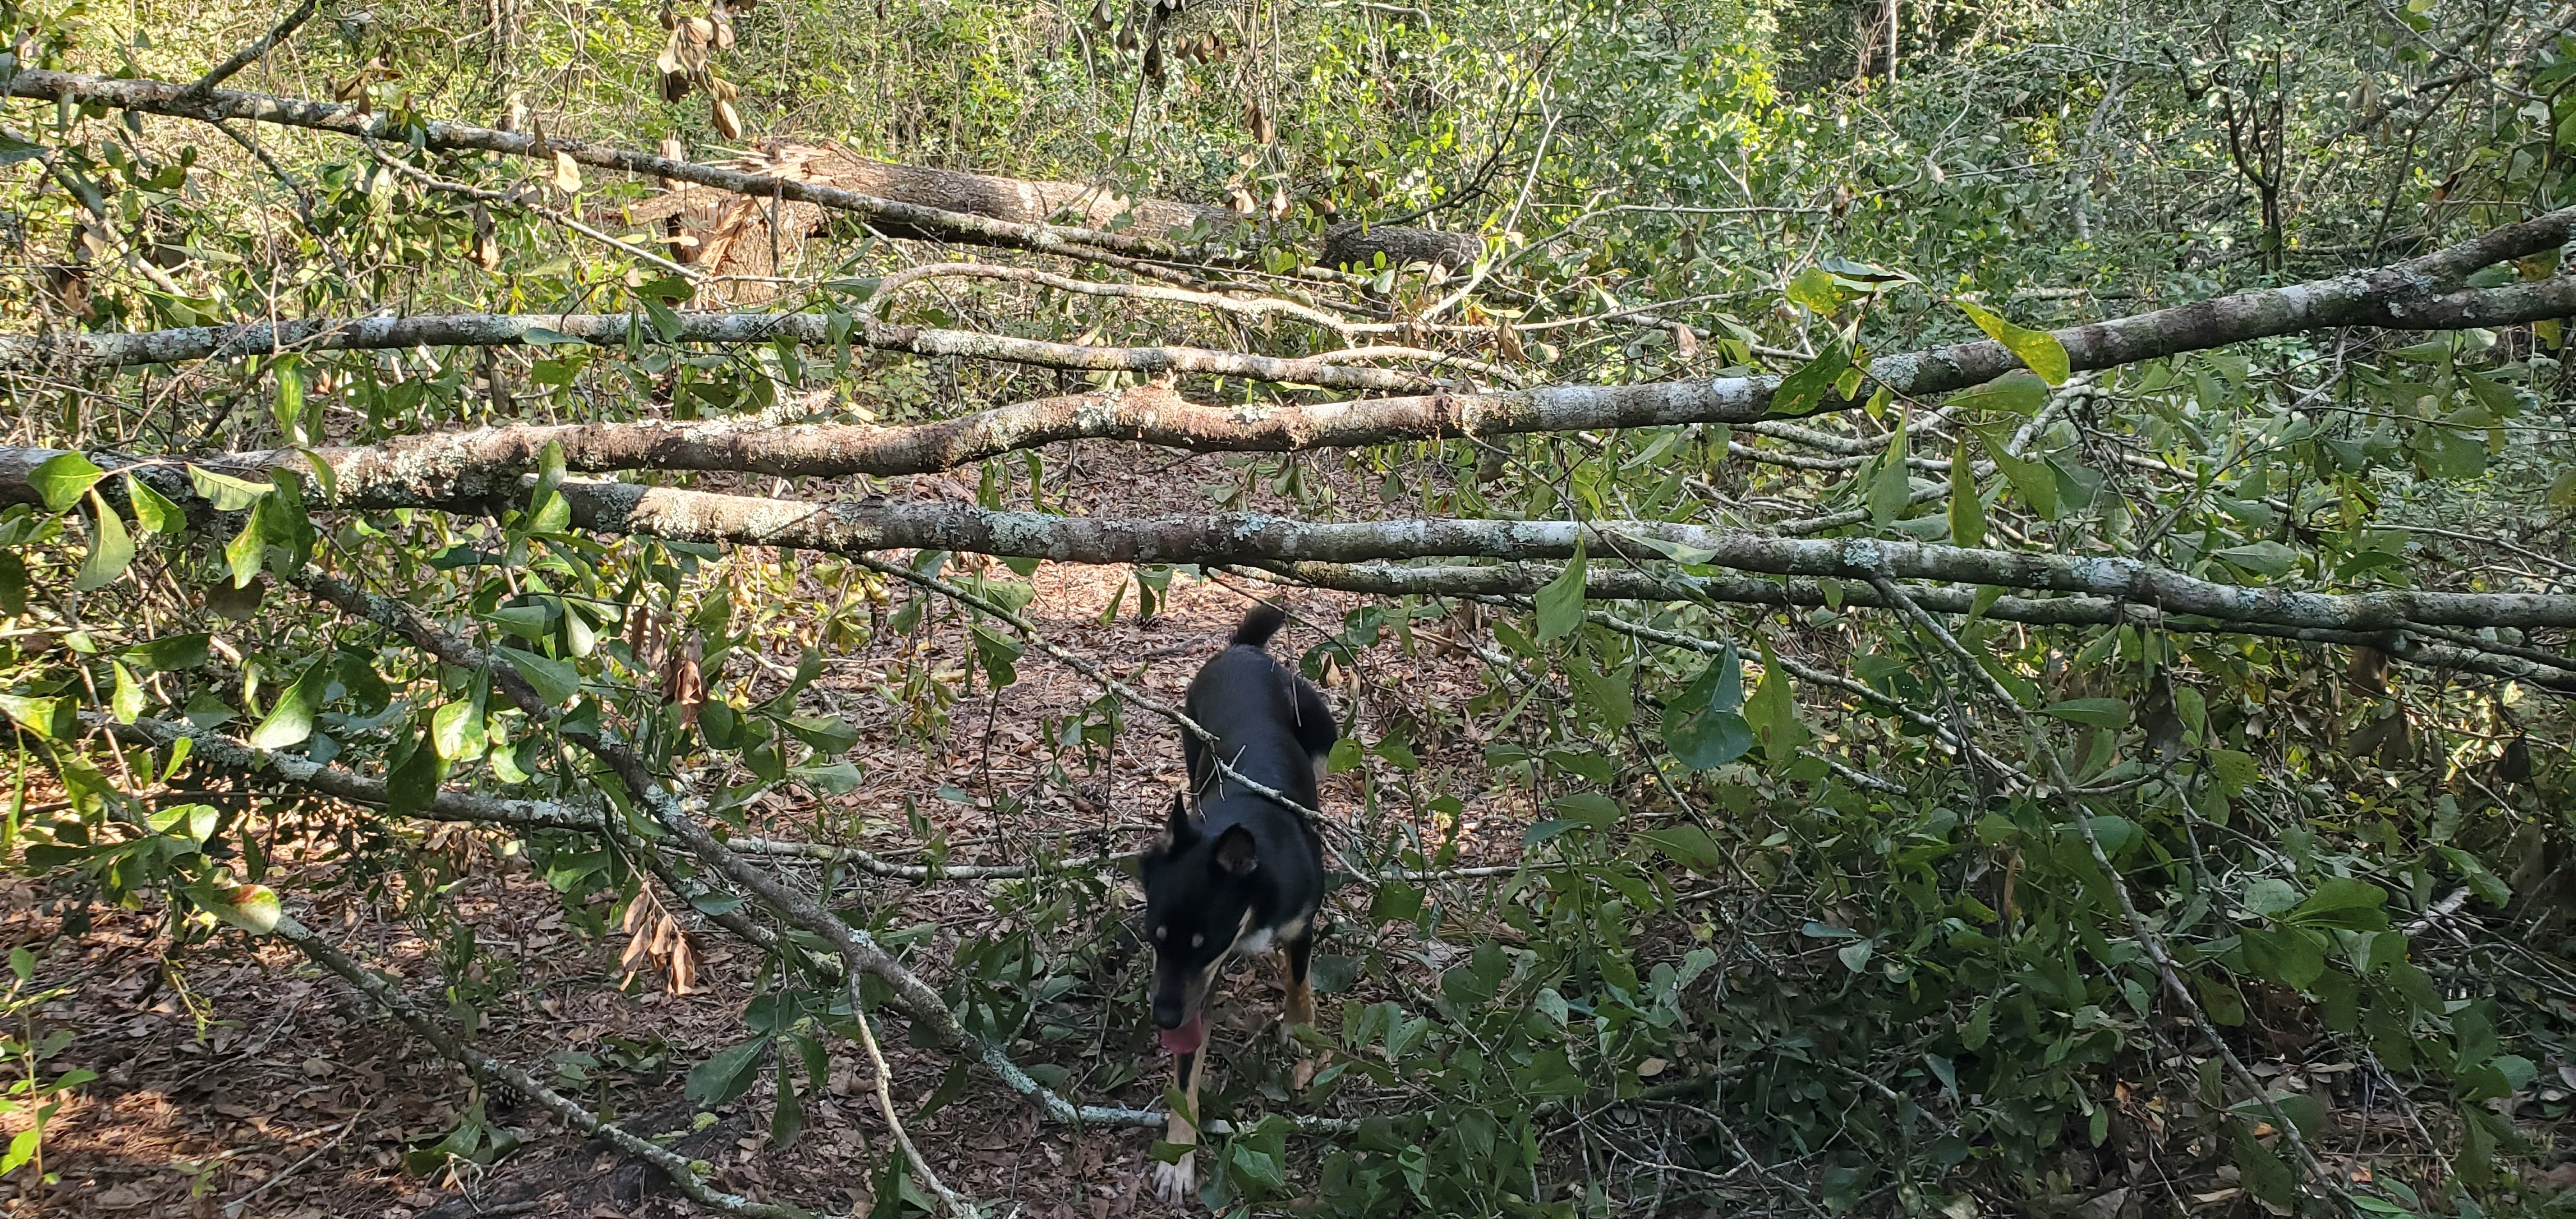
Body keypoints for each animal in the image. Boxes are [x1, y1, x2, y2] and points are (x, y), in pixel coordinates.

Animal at [1144, 602, 1339, 1200]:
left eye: (1205, 943)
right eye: (1154, 939)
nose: (1162, 1017)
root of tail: (1243, 650)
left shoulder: (1298, 927)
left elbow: (1298, 981)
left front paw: (1298, 1029)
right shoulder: (1193, 990)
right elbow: (1186, 1076)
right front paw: (1178, 1157)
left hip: (1322, 735)